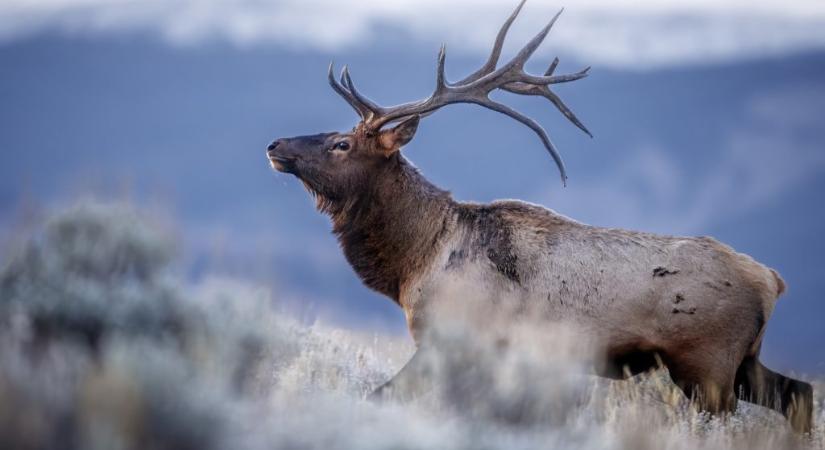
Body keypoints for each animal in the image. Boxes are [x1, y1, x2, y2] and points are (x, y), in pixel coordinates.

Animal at [268, 0, 812, 432]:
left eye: (342, 143)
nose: (275, 145)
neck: (413, 261)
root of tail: (772, 279)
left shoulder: (454, 339)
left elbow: (382, 395)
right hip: (743, 361)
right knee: (799, 394)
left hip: (708, 364)